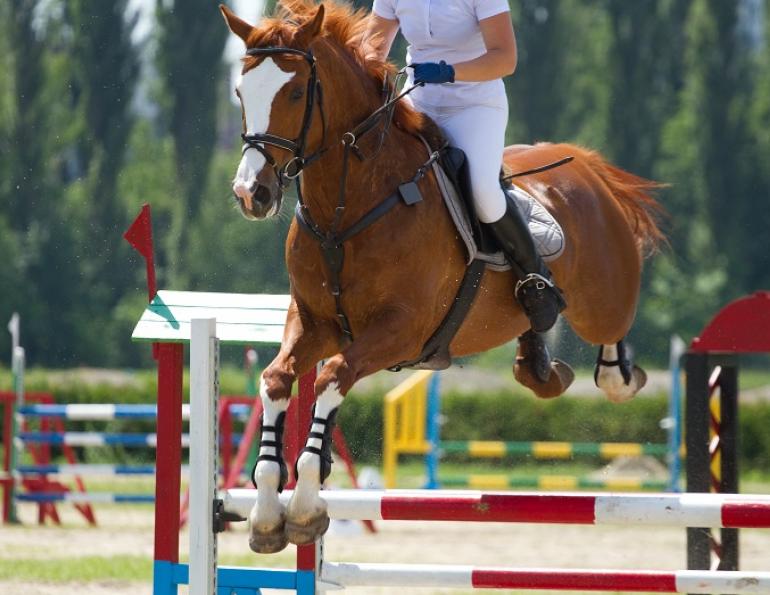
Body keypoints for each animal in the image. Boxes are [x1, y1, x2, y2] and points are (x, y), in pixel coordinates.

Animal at [220, 0, 665, 553]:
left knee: (612, 342)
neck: (347, 207)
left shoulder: (400, 329)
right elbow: (278, 379)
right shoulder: (314, 321)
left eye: (298, 92)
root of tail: (584, 165)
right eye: (241, 92)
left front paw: (303, 508)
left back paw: (618, 375)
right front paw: (264, 516)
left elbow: (331, 375)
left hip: (602, 302)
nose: (250, 194)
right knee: (536, 341)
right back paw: (543, 365)